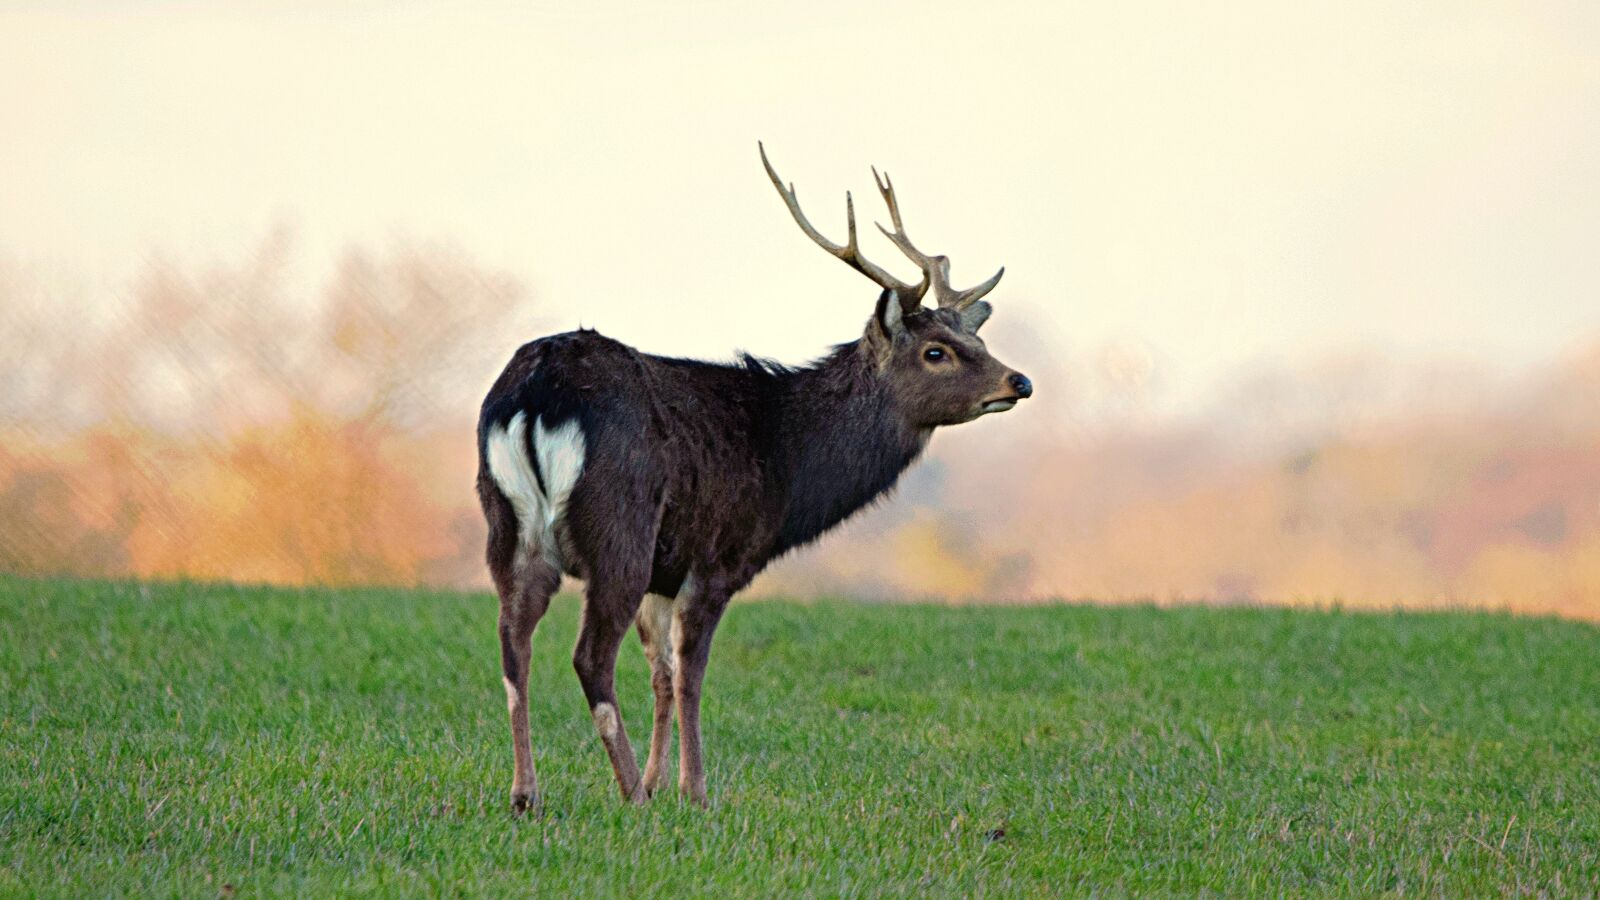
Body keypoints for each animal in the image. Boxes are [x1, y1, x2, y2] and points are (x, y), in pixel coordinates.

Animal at [476, 143, 1032, 813]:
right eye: (935, 352)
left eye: (973, 336)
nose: (1019, 381)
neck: (785, 464)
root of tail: (535, 393)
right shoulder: (719, 554)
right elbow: (690, 675)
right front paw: (691, 792)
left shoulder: (667, 568)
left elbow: (661, 675)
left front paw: (664, 782)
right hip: (619, 525)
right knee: (588, 657)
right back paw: (629, 793)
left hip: (507, 527)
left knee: (513, 646)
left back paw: (527, 794)